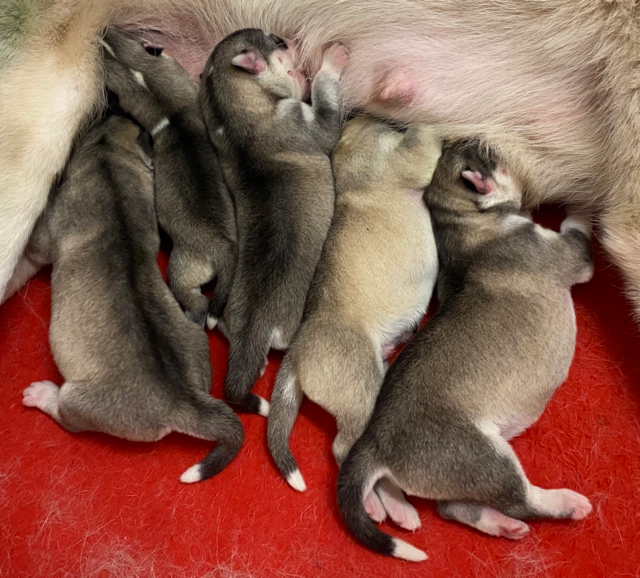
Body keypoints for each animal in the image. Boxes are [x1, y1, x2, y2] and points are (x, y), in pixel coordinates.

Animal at [20, 112, 244, 482]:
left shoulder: (46, 238)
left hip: (79, 401)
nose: (111, 108)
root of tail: (185, 402)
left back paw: (41, 394)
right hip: (196, 343)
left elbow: (38, 239)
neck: (107, 154)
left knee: (67, 415)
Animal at [200, 29, 350, 414]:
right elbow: (325, 105)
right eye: (278, 43)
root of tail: (254, 328)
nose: (293, 37)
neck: (233, 120)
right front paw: (331, 60)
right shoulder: (308, 122)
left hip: (230, 316)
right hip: (290, 326)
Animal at [268, 116, 442, 516]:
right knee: (345, 450)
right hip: (364, 388)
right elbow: (425, 137)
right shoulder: (409, 157)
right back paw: (389, 507)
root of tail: (296, 353)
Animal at [336, 142, 596, 560]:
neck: (462, 222)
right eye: (489, 155)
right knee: (520, 500)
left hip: (466, 473)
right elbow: (578, 228)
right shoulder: (568, 251)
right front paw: (585, 202)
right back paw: (565, 503)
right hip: (487, 458)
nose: (481, 138)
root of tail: (376, 441)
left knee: (453, 507)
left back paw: (500, 525)